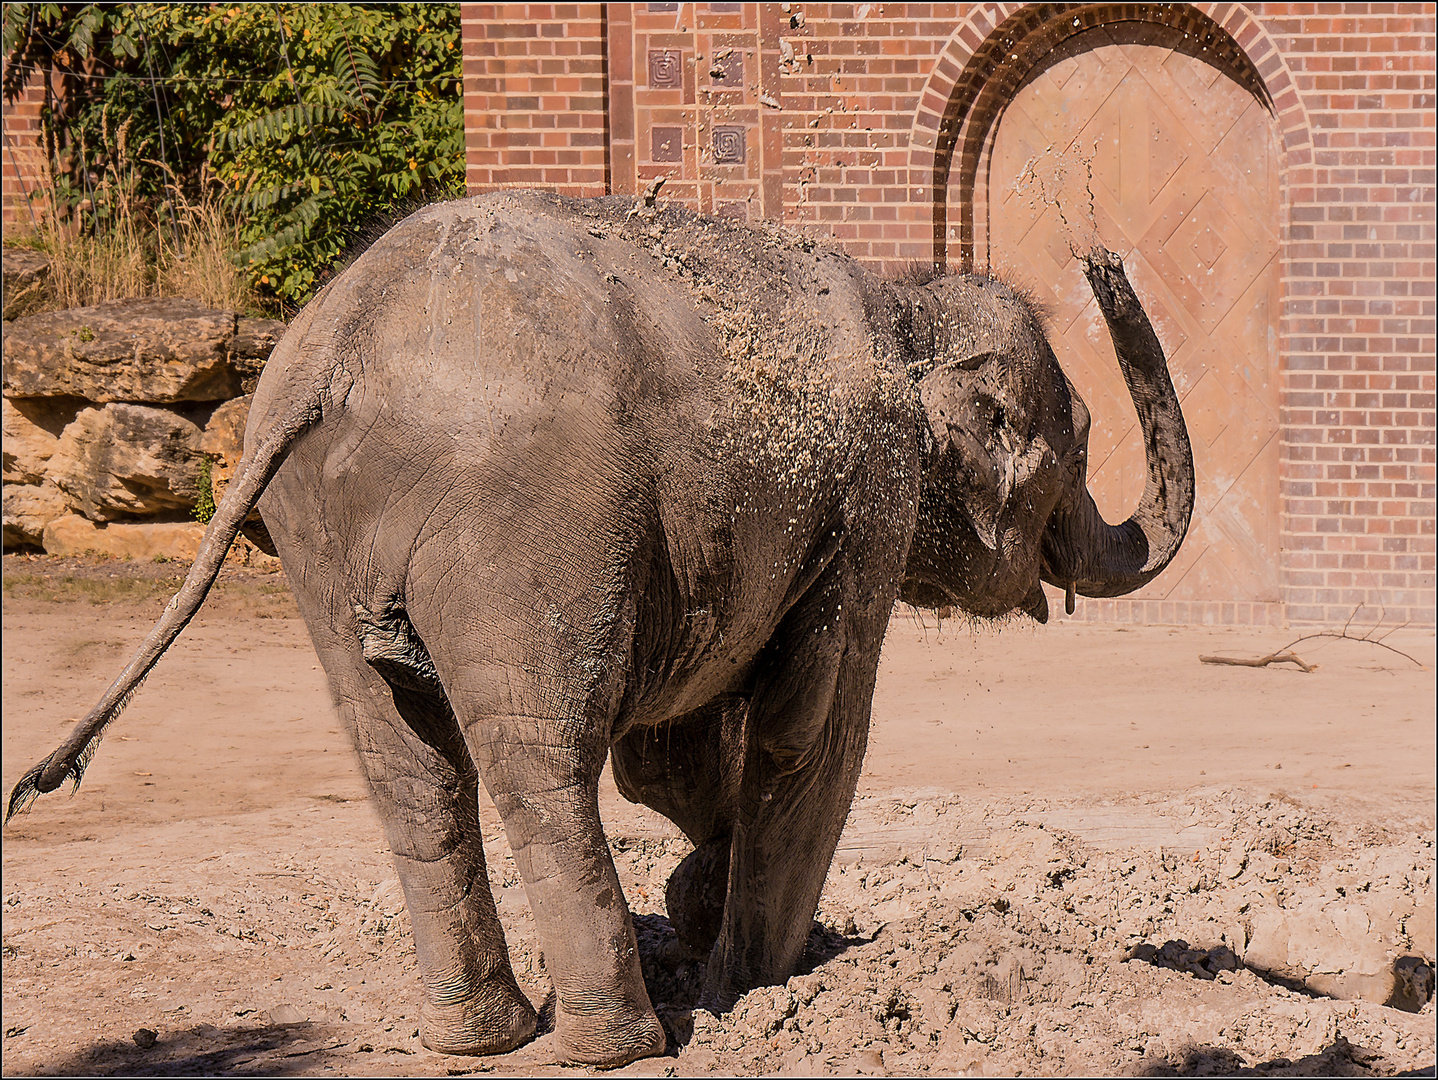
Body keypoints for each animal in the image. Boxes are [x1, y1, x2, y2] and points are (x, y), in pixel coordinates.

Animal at [8, 192, 1190, 1064]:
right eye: (1077, 444)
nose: (1102, 260)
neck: (909, 315)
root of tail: (330, 353)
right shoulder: (869, 502)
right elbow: (813, 730)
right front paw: (767, 982)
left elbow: (674, 753)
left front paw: (707, 914)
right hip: (528, 529)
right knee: (542, 758)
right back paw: (621, 1045)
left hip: (322, 539)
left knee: (405, 762)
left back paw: (478, 1037)